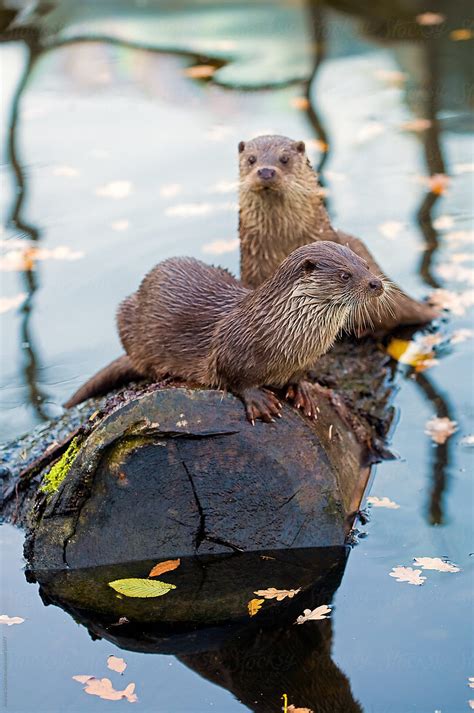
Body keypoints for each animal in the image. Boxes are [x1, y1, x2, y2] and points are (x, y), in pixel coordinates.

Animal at [65, 242, 386, 420]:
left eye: (365, 265)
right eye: (345, 275)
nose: (376, 283)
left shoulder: (305, 361)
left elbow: (298, 378)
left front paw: (302, 392)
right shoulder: (232, 350)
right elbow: (234, 377)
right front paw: (259, 400)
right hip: (127, 315)